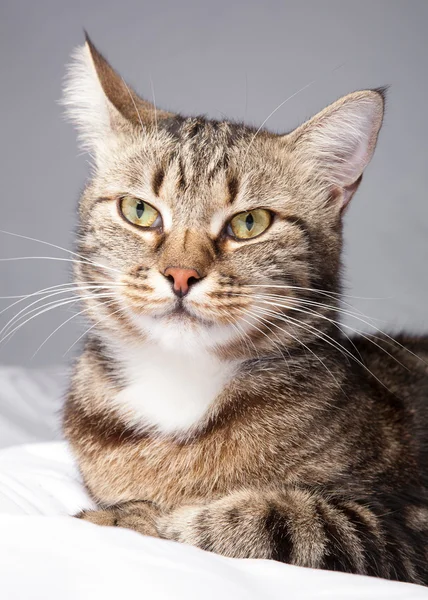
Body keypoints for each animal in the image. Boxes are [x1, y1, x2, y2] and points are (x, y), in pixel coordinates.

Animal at [61, 35, 428, 584]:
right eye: (139, 211)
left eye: (249, 223)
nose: (181, 275)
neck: (182, 390)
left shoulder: (405, 530)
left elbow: (270, 517)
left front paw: (137, 517)